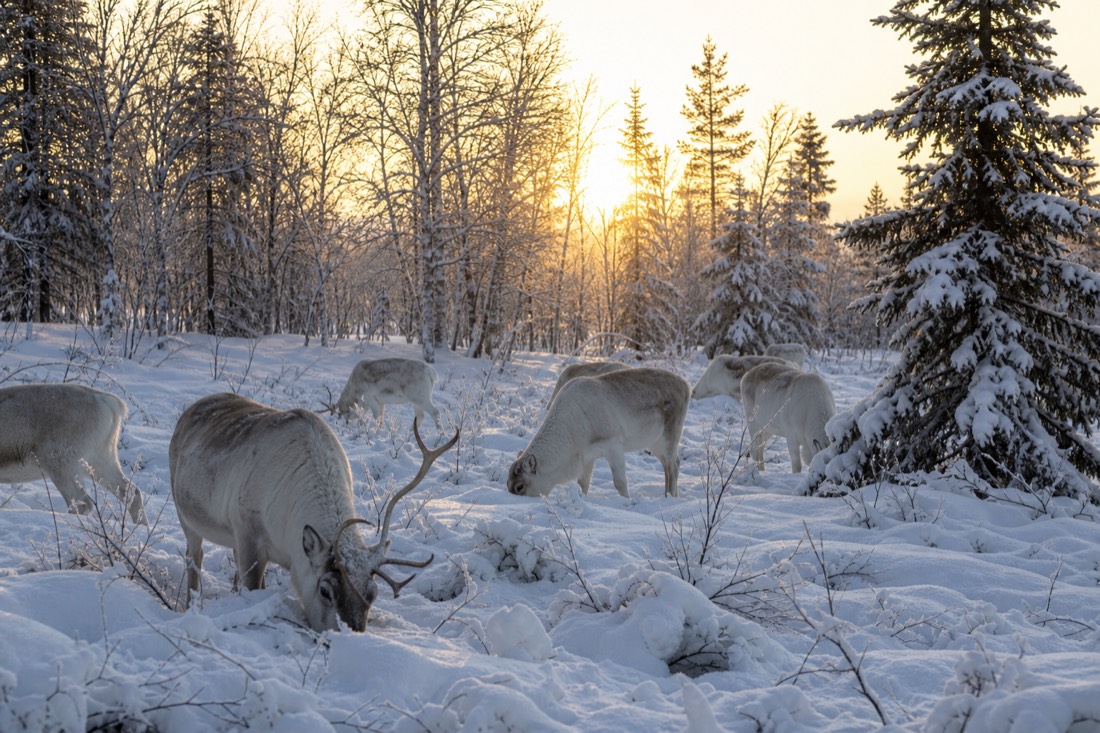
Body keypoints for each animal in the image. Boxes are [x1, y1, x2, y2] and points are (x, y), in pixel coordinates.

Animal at [170, 392, 459, 632]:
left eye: (373, 593)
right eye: (325, 591)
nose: (350, 636)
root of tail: (190, 410)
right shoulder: (248, 533)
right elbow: (252, 585)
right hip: (186, 517)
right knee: (194, 558)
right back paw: (188, 605)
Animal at [508, 367, 690, 499]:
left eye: (520, 486)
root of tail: (685, 384)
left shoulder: (613, 445)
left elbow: (620, 482)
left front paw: (628, 502)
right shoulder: (587, 455)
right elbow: (583, 483)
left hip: (670, 435)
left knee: (673, 465)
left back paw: (670, 496)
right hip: (654, 441)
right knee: (668, 464)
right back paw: (669, 495)